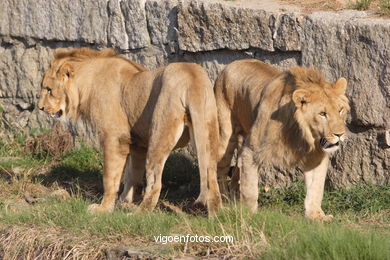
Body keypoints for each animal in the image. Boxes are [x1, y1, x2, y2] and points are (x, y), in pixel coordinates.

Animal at [40, 47, 224, 214]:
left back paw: (139, 213)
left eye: (49, 89)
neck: (86, 84)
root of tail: (192, 77)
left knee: (155, 182)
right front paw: (123, 202)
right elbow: (131, 175)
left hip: (159, 135)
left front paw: (103, 208)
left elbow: (110, 177)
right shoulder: (137, 144)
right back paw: (216, 214)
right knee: (211, 176)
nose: (40, 108)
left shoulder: (114, 138)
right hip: (207, 132)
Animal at [215, 59, 348, 221]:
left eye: (340, 110)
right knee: (220, 168)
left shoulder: (316, 157)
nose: (340, 134)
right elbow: (250, 188)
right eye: (322, 114)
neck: (302, 135)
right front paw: (249, 215)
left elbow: (316, 188)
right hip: (225, 135)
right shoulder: (251, 152)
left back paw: (233, 198)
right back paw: (223, 201)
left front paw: (316, 216)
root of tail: (232, 63)